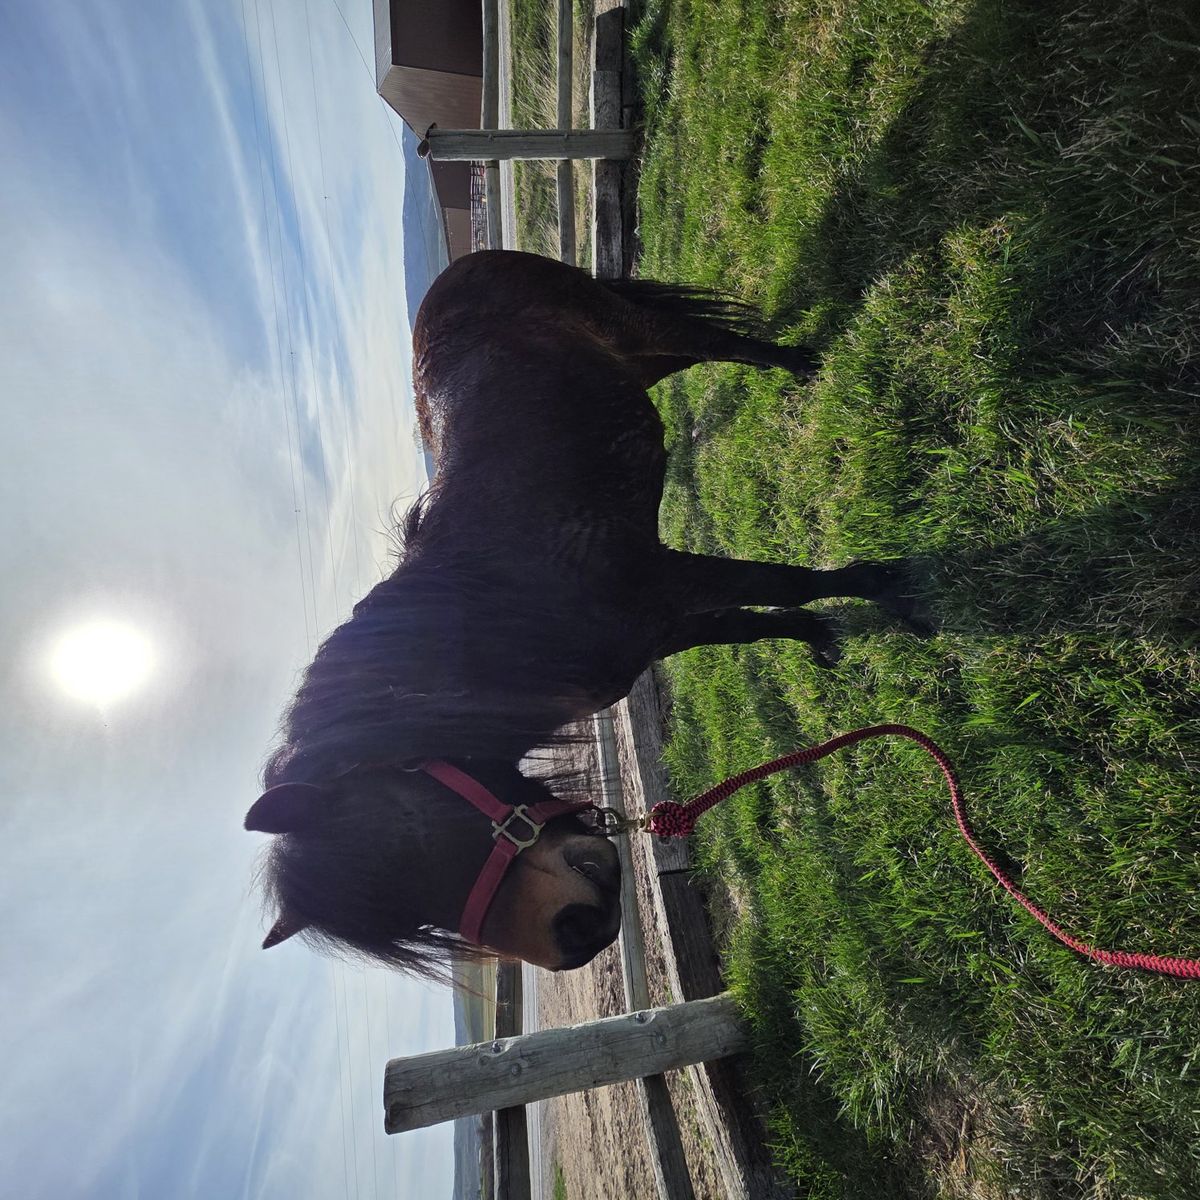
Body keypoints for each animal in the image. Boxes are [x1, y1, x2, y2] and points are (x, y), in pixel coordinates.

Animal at [246, 249, 919, 979]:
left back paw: (801, 364)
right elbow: (753, 619)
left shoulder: (664, 582)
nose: (577, 934)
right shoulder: (658, 628)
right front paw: (821, 636)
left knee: (721, 344)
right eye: (418, 919)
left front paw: (897, 591)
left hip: (635, 330)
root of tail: (461, 271)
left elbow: (786, 583)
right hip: (642, 364)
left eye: (412, 831)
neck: (503, 608)